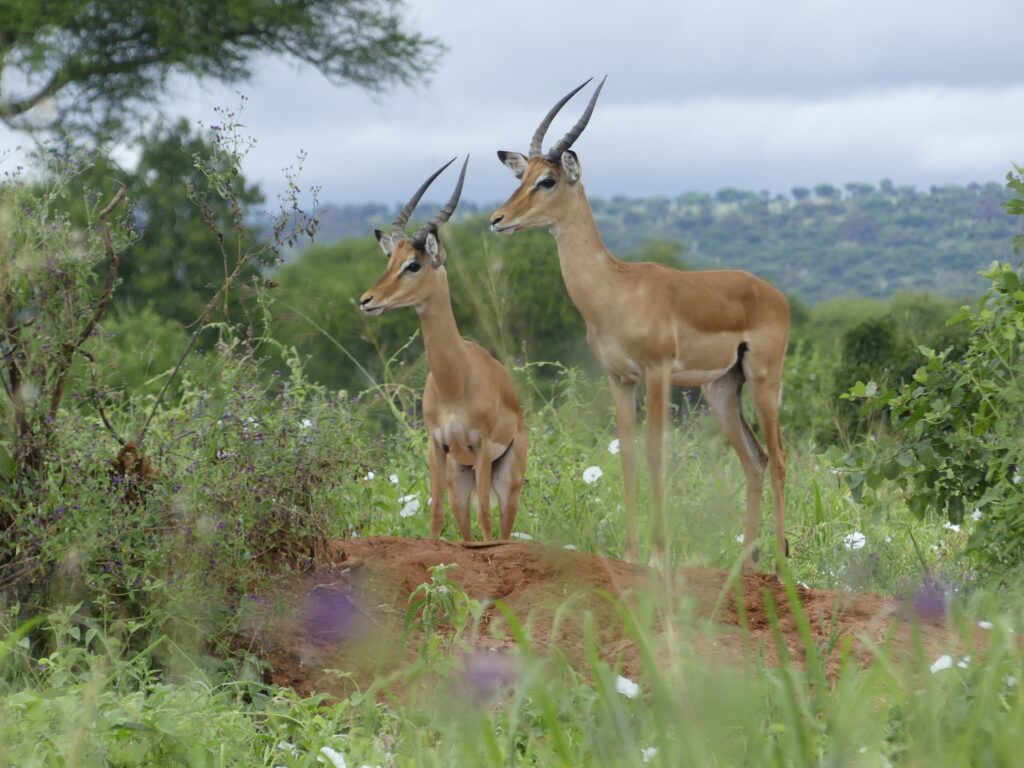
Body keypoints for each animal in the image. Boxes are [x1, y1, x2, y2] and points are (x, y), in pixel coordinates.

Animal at [360, 157, 528, 542]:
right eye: (389, 262)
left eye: (414, 264)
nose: (367, 300)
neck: (455, 381)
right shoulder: (436, 446)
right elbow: (436, 516)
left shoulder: (481, 446)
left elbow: (486, 520)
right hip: (459, 476)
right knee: (461, 519)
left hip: (505, 478)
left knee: (502, 527)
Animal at [490, 79, 790, 571]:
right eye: (520, 177)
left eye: (547, 180)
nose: (498, 220)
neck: (616, 290)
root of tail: (773, 293)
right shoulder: (620, 378)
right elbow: (627, 455)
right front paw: (630, 553)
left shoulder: (657, 373)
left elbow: (655, 454)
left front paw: (657, 556)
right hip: (721, 390)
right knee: (755, 460)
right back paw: (744, 566)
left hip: (764, 380)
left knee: (780, 456)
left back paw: (782, 562)